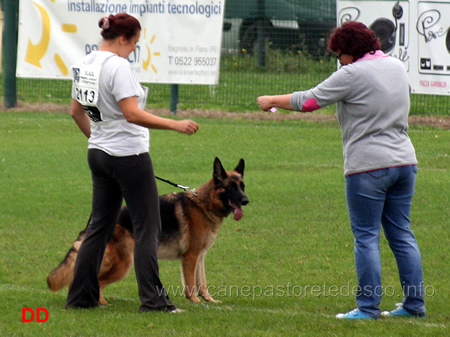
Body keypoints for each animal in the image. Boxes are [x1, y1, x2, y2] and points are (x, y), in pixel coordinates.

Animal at [48, 158, 250, 304]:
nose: (246, 200)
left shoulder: (200, 256)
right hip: (123, 264)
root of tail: (92, 223)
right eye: (231, 187)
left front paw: (209, 301)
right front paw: (195, 302)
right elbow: (191, 284)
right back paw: (101, 303)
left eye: (242, 186)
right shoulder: (190, 257)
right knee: (97, 281)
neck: (204, 204)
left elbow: (203, 282)